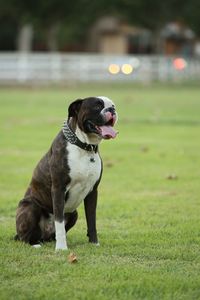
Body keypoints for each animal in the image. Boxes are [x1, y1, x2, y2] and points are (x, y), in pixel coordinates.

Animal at [14, 96, 118, 251]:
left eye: (113, 105)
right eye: (97, 106)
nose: (112, 109)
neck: (84, 147)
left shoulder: (93, 192)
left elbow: (91, 220)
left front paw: (94, 243)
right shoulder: (58, 189)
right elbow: (59, 222)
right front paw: (62, 248)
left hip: (73, 213)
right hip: (30, 206)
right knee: (25, 237)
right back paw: (35, 244)